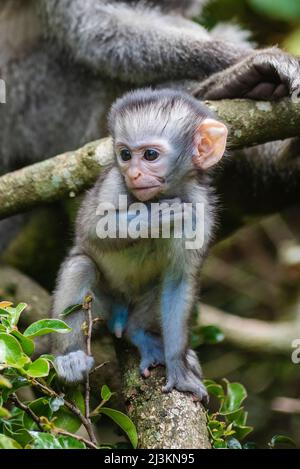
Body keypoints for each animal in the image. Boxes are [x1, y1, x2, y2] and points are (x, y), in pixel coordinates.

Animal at [52, 89, 229, 400]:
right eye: (125, 155)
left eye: (150, 155)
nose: (133, 174)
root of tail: (119, 312)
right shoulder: (114, 181)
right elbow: (91, 227)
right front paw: (153, 216)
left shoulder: (200, 208)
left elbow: (178, 281)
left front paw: (177, 365)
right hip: (101, 305)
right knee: (81, 265)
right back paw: (70, 356)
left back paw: (140, 333)